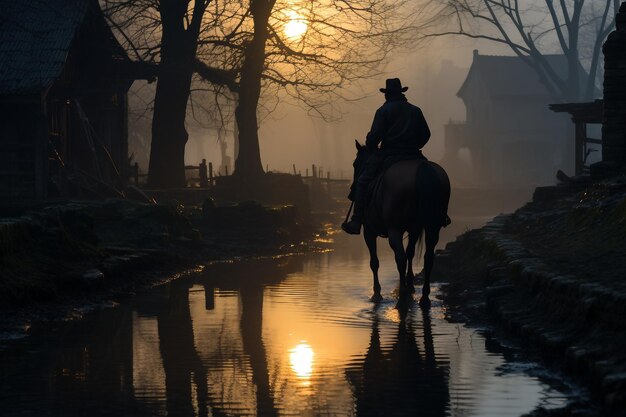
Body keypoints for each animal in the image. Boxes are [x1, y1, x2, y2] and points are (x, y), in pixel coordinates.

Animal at [352, 140, 448, 302]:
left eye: (354, 164)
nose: (352, 191)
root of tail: (424, 169)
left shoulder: (369, 231)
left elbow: (374, 262)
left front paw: (377, 293)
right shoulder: (414, 229)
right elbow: (410, 252)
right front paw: (410, 284)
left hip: (394, 230)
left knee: (400, 258)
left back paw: (402, 294)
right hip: (432, 228)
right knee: (428, 258)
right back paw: (423, 295)